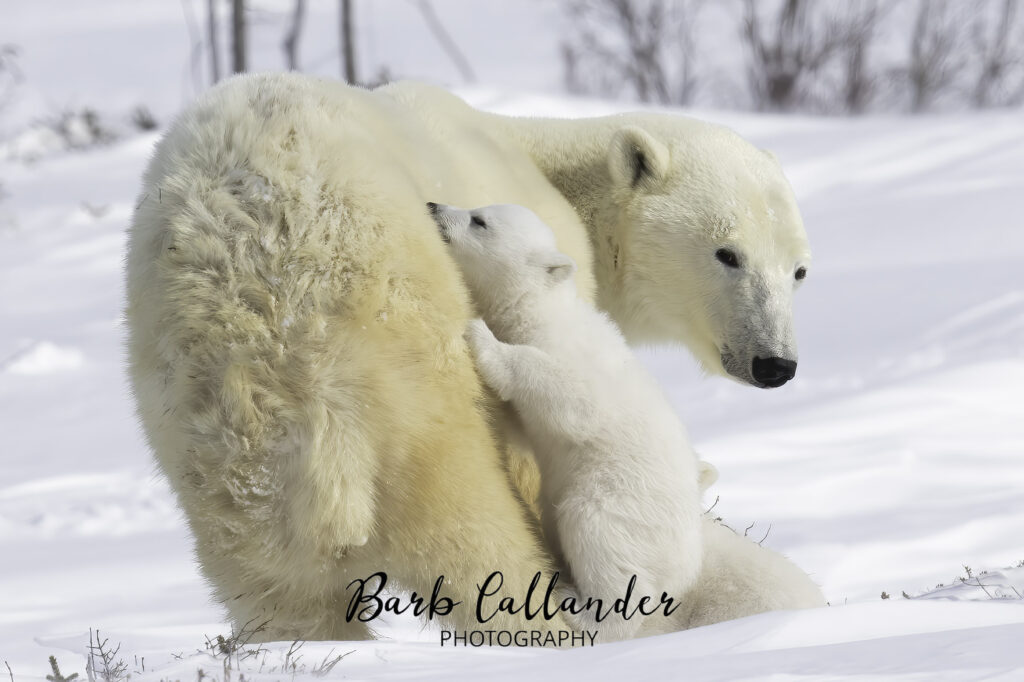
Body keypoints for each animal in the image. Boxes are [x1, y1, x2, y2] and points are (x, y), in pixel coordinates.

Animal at [431, 201, 705, 641]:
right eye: (477, 210)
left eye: (480, 220)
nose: (433, 206)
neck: (540, 308)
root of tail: (686, 565)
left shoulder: (571, 358)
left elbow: (571, 398)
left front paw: (481, 337)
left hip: (622, 500)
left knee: (598, 535)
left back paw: (583, 610)